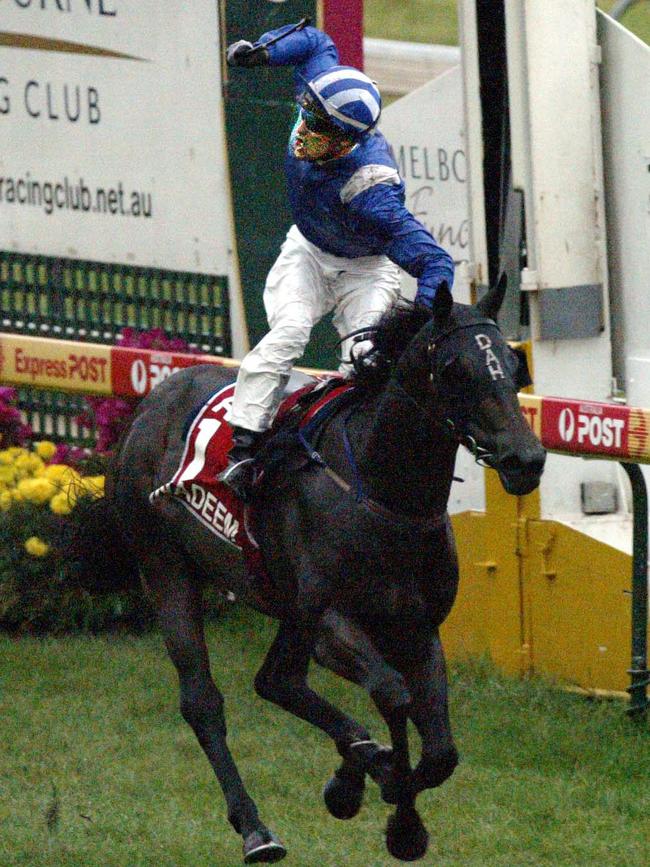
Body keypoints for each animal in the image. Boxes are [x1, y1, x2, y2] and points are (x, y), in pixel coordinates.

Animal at [77, 282, 540, 864]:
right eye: (454, 369)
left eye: (514, 365)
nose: (526, 459)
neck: (384, 493)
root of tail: (152, 402)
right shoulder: (330, 620)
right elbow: (393, 694)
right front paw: (392, 803)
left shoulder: (416, 626)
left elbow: (440, 752)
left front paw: (376, 792)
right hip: (165, 569)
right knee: (204, 701)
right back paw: (256, 829)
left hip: (284, 605)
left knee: (276, 680)